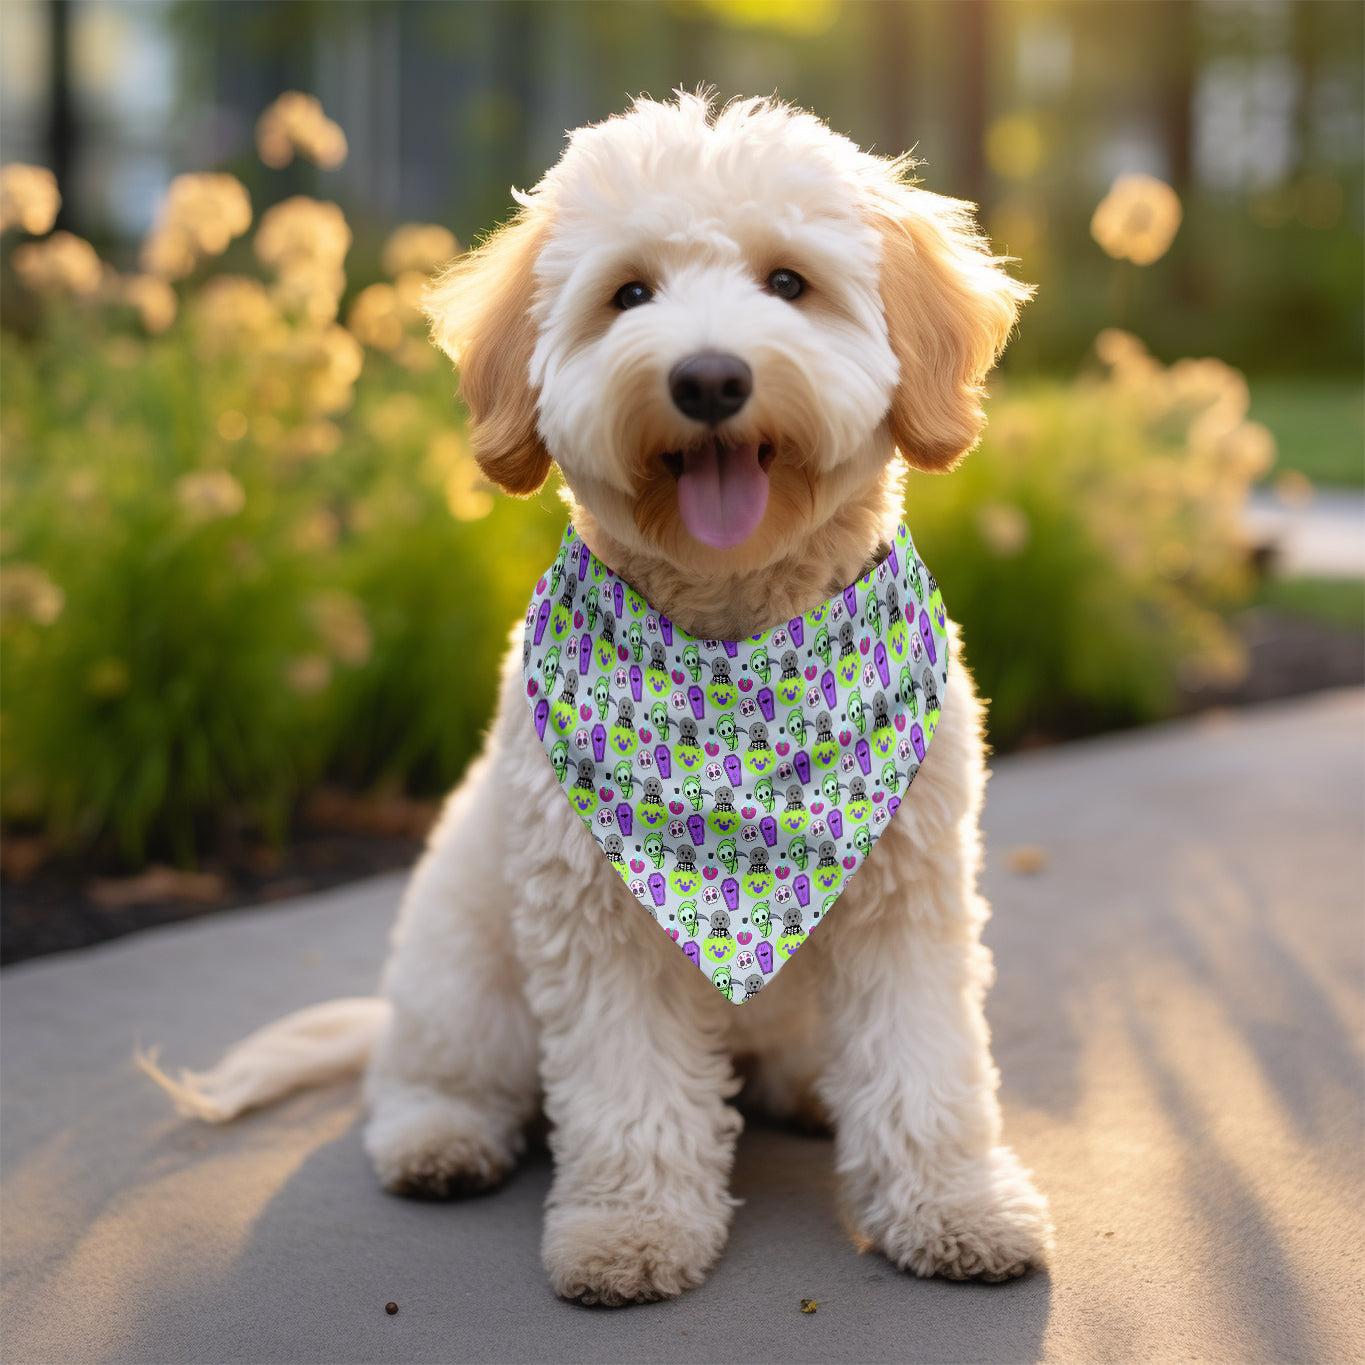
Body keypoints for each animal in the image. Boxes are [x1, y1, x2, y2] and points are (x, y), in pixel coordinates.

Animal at [154, 90, 1059, 1304]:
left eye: (788, 281)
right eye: (630, 294)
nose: (709, 379)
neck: (735, 655)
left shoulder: (907, 902)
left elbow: (926, 1067)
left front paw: (955, 1205)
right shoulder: (596, 924)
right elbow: (630, 1094)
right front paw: (629, 1231)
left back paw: (809, 1093)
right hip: (461, 977)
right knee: (422, 1079)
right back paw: (437, 1139)